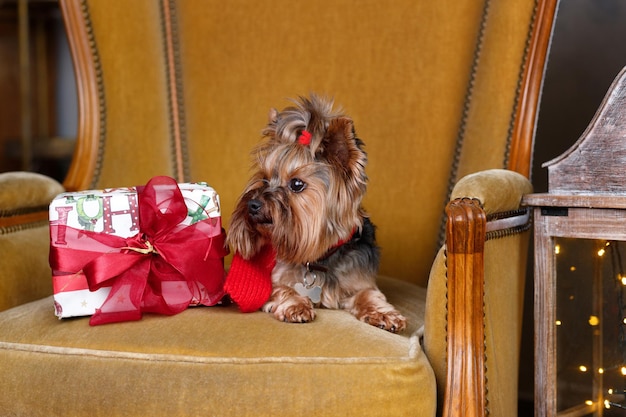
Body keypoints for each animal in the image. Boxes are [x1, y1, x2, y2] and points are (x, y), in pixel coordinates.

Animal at [227, 94, 408, 332]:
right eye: (264, 179)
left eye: (296, 184)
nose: (253, 204)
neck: (319, 258)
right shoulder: (274, 280)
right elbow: (283, 289)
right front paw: (296, 305)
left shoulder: (360, 280)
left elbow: (370, 295)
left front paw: (384, 314)